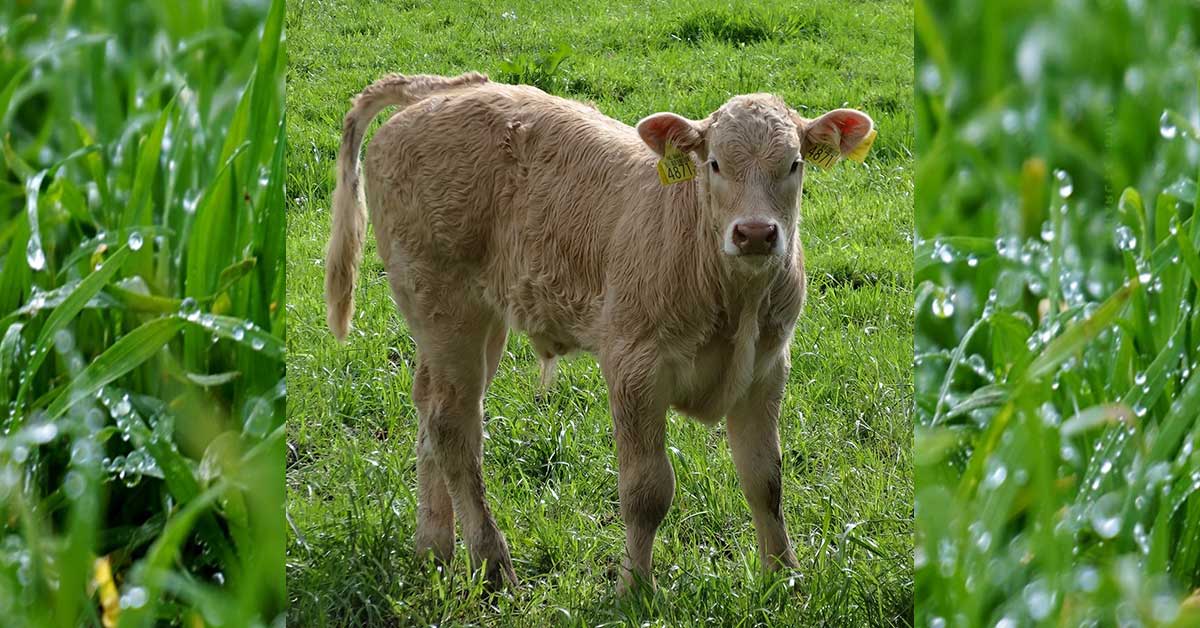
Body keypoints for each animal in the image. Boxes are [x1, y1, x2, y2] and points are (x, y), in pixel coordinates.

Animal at [328, 73, 873, 595]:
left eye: (794, 164)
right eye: (715, 164)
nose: (755, 233)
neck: (730, 299)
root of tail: (433, 92)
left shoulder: (767, 367)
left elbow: (765, 479)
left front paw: (785, 577)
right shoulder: (634, 364)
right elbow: (647, 490)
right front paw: (634, 589)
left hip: (472, 321)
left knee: (430, 412)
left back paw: (434, 550)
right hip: (444, 303)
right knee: (452, 427)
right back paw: (493, 565)